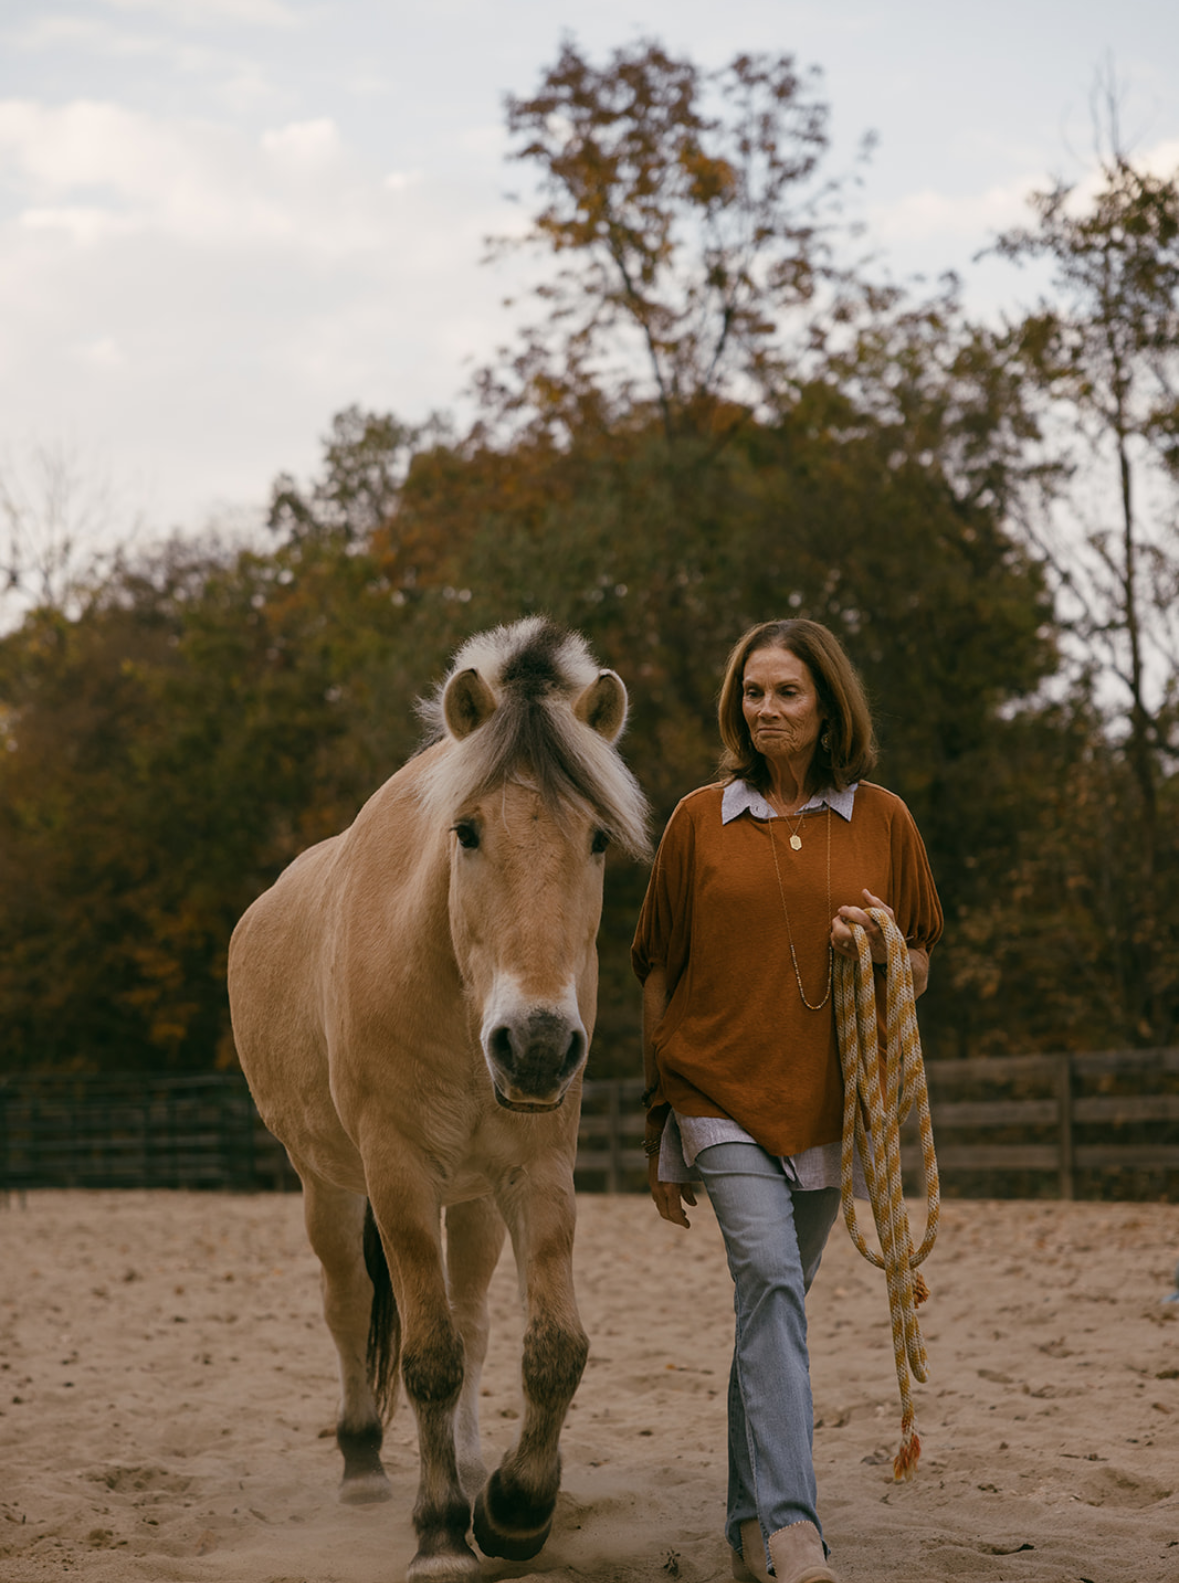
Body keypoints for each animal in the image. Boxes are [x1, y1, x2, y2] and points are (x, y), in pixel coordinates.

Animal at [227, 618, 650, 1582]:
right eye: (466, 831)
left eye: (597, 840)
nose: (536, 1044)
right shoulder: (399, 1175)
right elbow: (425, 1356)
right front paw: (441, 1532)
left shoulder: (538, 1170)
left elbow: (552, 1347)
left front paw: (514, 1507)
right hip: (329, 1187)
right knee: (350, 1306)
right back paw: (361, 1465)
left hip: (475, 1198)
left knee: (474, 1321)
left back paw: (466, 1458)